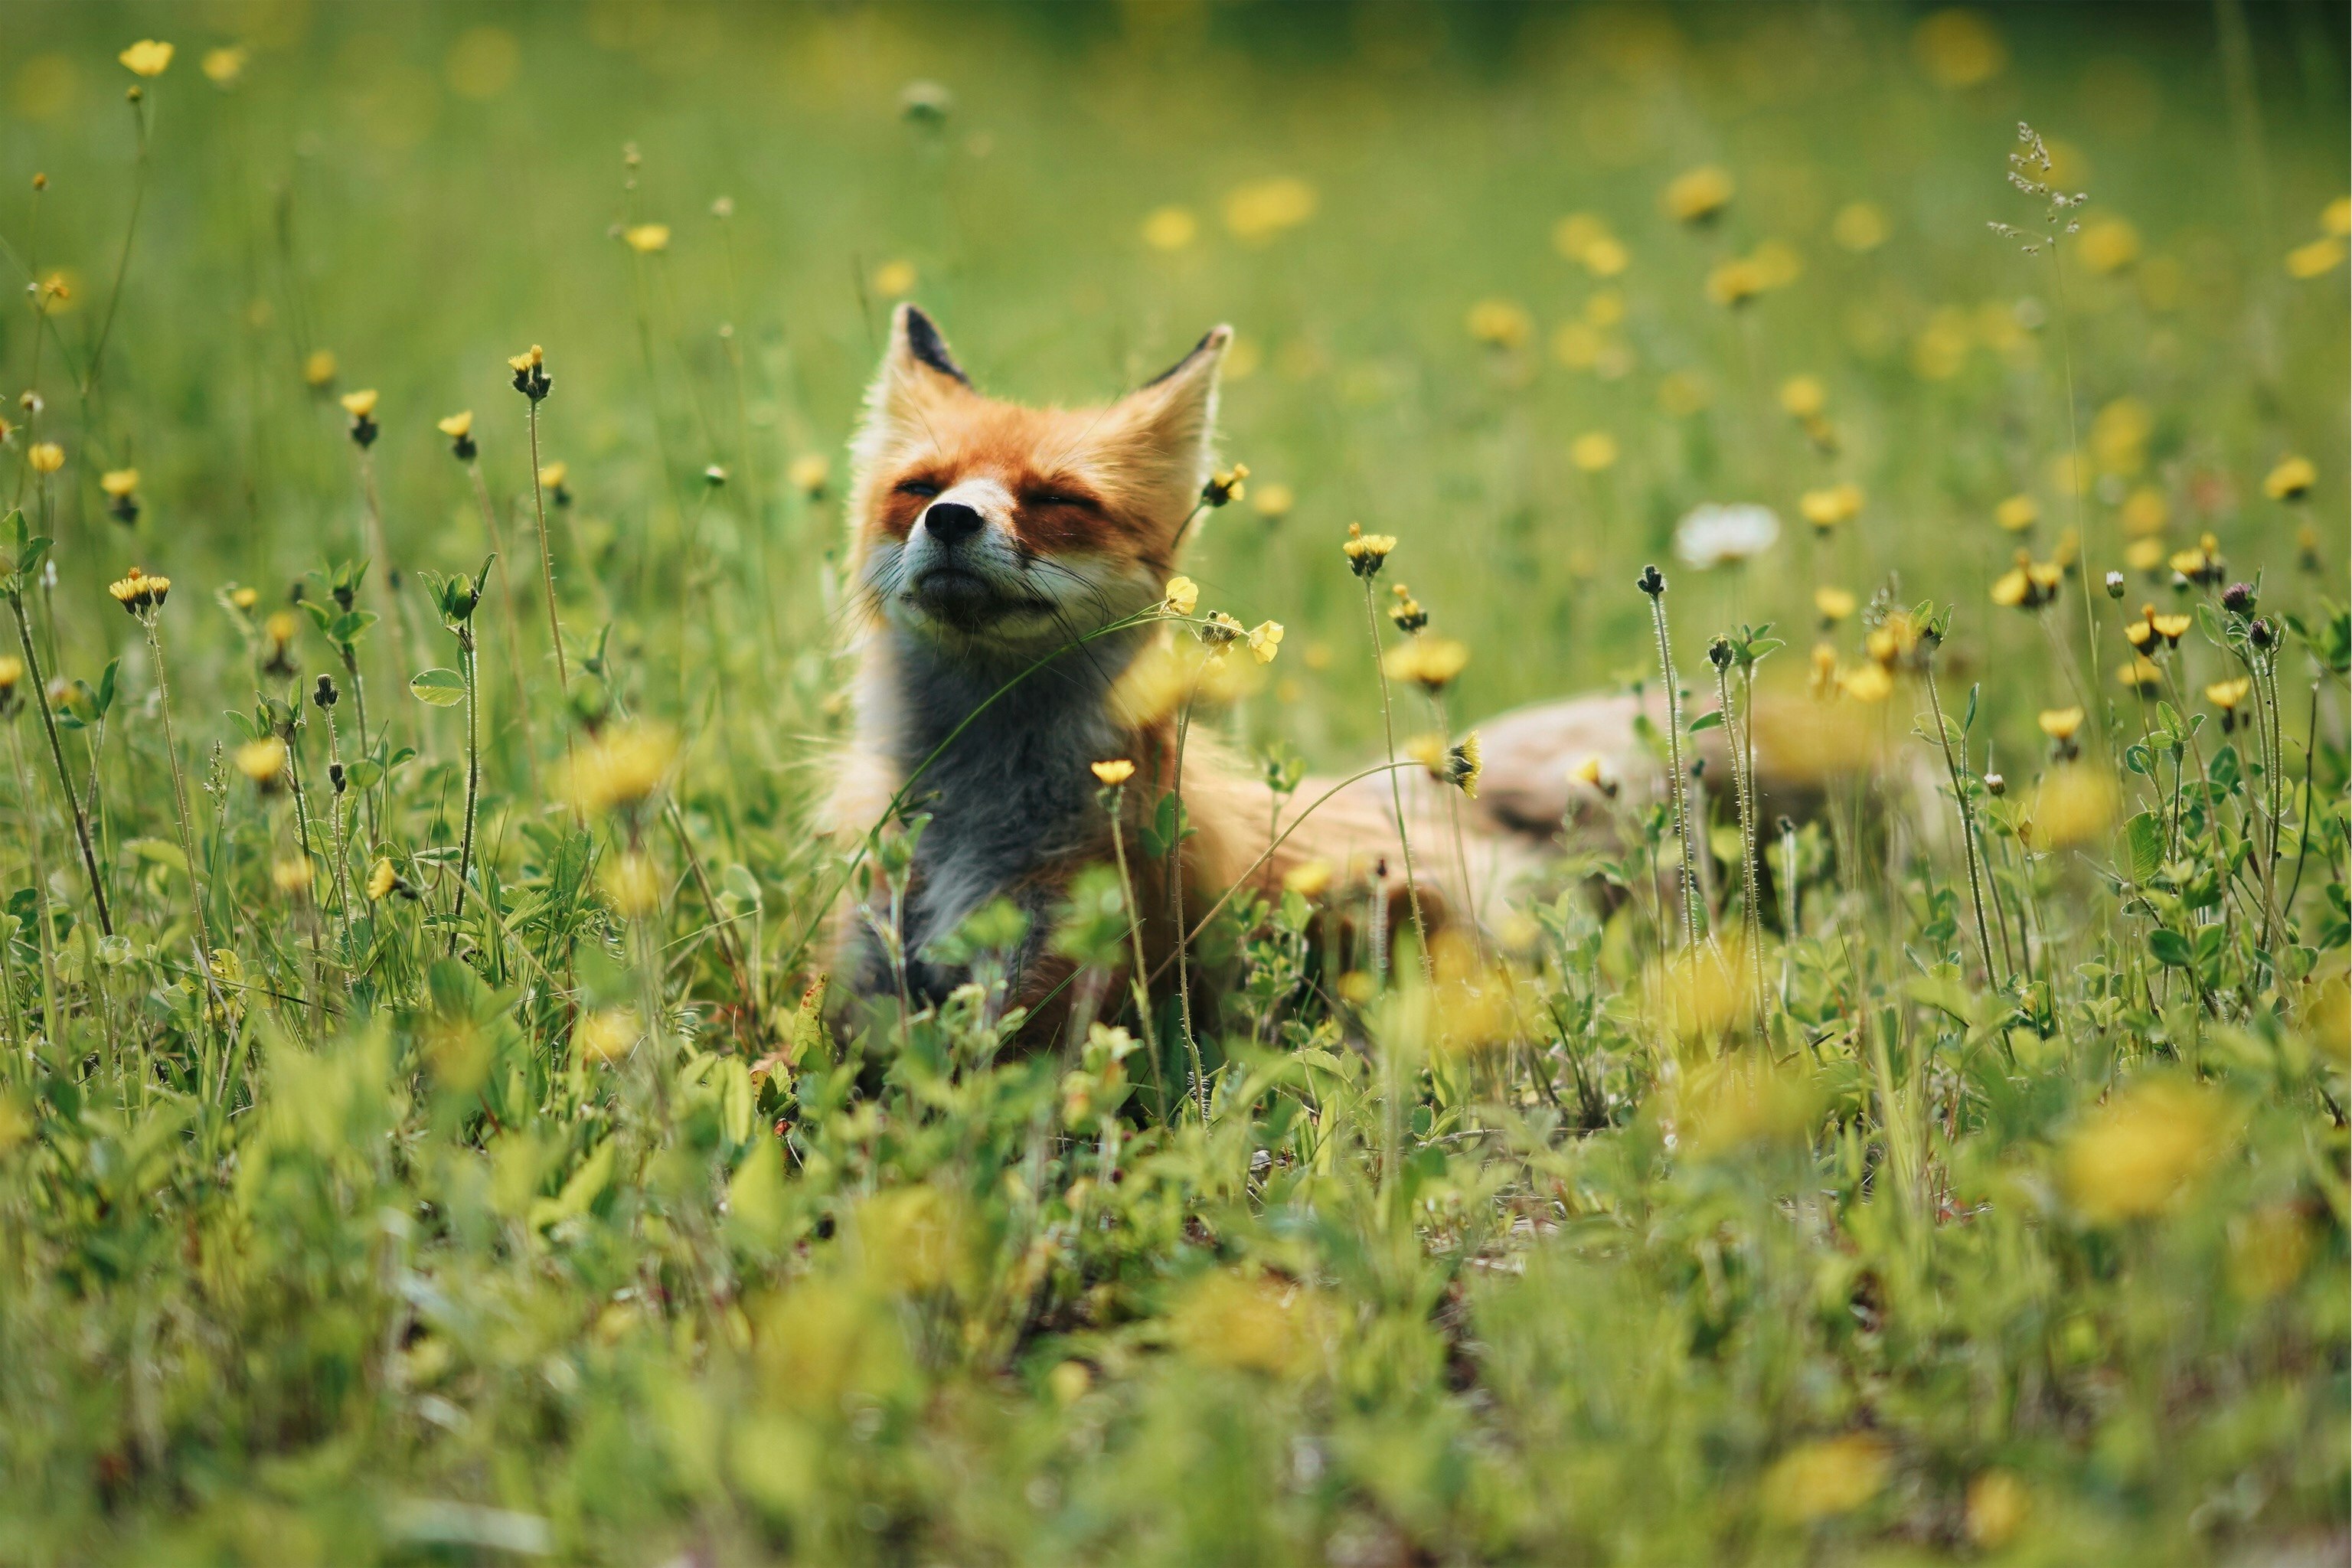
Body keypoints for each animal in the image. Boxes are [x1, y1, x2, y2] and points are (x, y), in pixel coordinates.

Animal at [837, 308, 1806, 1044]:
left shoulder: (1072, 976)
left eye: (1057, 499)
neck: (976, 819)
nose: (950, 519)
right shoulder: (870, 964)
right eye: (918, 486)